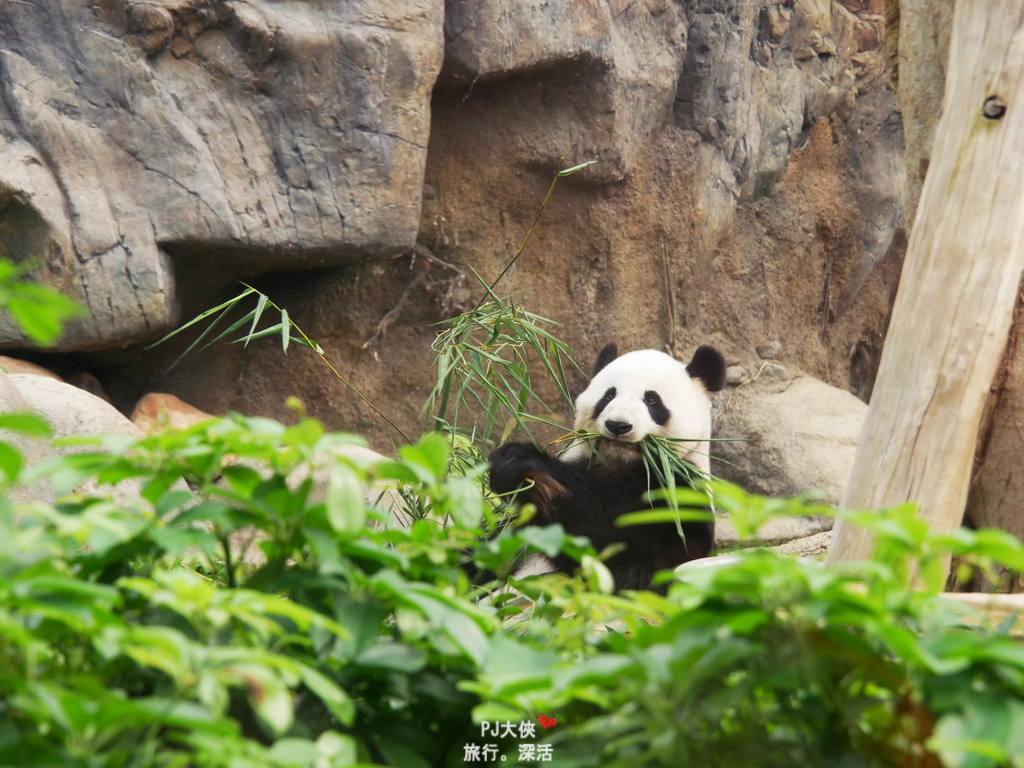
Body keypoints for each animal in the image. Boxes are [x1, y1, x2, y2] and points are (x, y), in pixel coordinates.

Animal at [489, 344, 724, 593]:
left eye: (652, 400)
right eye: (609, 395)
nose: (618, 425)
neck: (621, 461)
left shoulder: (674, 490)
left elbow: (595, 520)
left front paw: (523, 463)